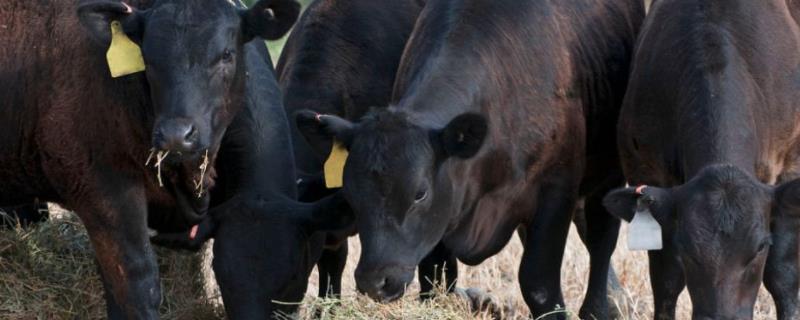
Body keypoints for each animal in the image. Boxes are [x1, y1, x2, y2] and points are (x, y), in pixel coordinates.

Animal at [296, 0, 648, 318]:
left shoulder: (556, 191)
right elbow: (434, 279)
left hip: (608, 175)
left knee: (601, 240)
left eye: (419, 193)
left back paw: (602, 307)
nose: (375, 280)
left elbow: (540, 285)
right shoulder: (442, 222)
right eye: (351, 193)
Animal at [604, 1, 800, 318]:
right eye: (686, 247)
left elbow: (783, 275)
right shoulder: (645, 169)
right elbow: (666, 280)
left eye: (760, 247)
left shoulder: (790, 163)